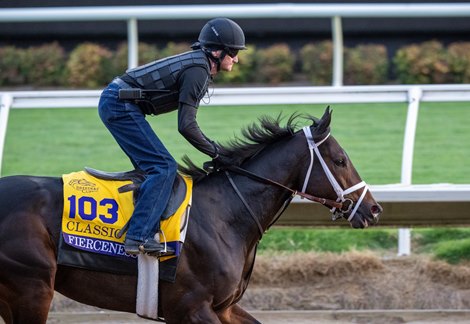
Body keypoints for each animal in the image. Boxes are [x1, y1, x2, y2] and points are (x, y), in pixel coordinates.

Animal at [0, 107, 382, 322]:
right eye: (340, 160)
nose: (374, 209)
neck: (225, 214)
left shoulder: (223, 307)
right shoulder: (191, 307)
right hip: (32, 287)